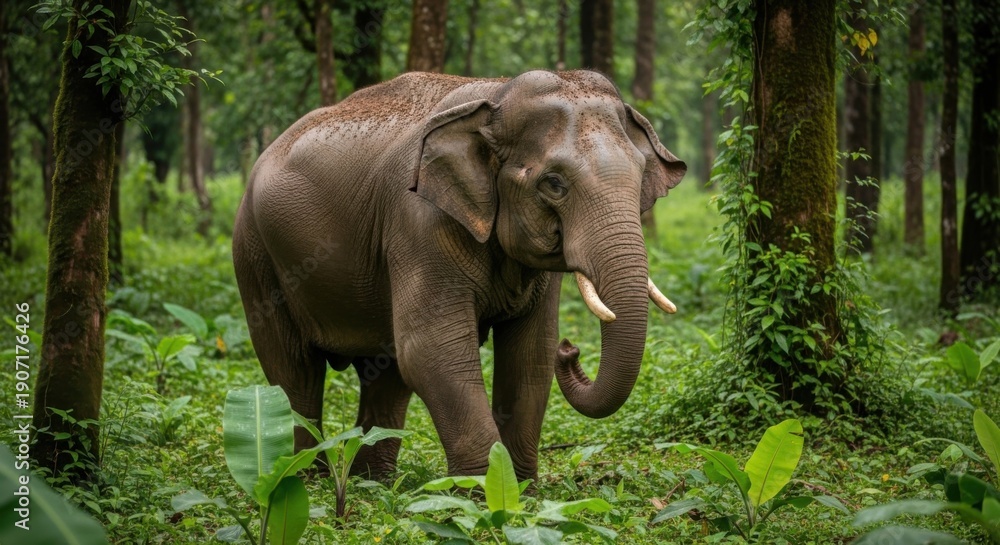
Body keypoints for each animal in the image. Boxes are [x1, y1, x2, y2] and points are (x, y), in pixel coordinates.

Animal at [232, 69, 686, 481]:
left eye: (641, 177)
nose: (571, 350)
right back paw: (301, 480)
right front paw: (483, 492)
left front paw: (521, 489)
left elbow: (531, 352)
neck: (496, 95)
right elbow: (435, 348)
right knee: (295, 370)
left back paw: (370, 483)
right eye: (554, 183)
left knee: (385, 370)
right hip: (255, 255)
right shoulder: (417, 220)